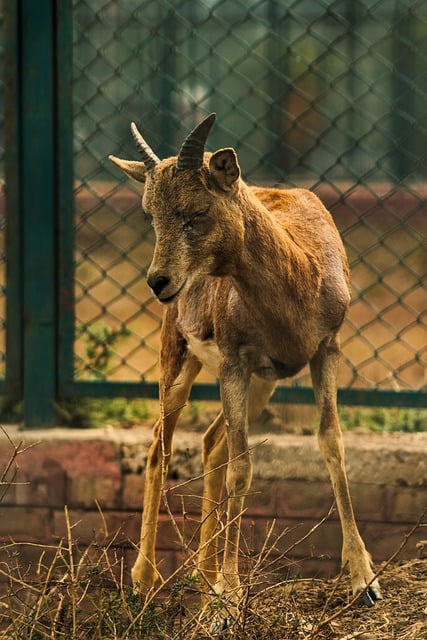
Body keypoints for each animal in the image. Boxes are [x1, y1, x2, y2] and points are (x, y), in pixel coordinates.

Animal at [109, 112, 382, 625]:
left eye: (196, 210)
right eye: (149, 213)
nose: (159, 282)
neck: (300, 274)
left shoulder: (325, 350)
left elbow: (331, 443)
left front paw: (365, 582)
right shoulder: (234, 363)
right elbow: (243, 468)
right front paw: (230, 598)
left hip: (260, 386)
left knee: (210, 443)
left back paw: (203, 579)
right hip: (180, 361)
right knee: (160, 447)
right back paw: (145, 581)